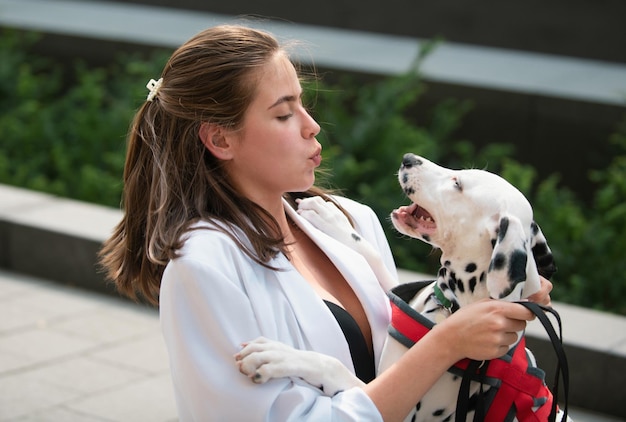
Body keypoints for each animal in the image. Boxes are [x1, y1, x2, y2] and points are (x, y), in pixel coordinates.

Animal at [236, 154, 564, 422]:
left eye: (457, 183)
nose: (408, 158)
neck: (449, 304)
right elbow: (375, 260)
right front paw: (332, 220)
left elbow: (333, 367)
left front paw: (278, 356)